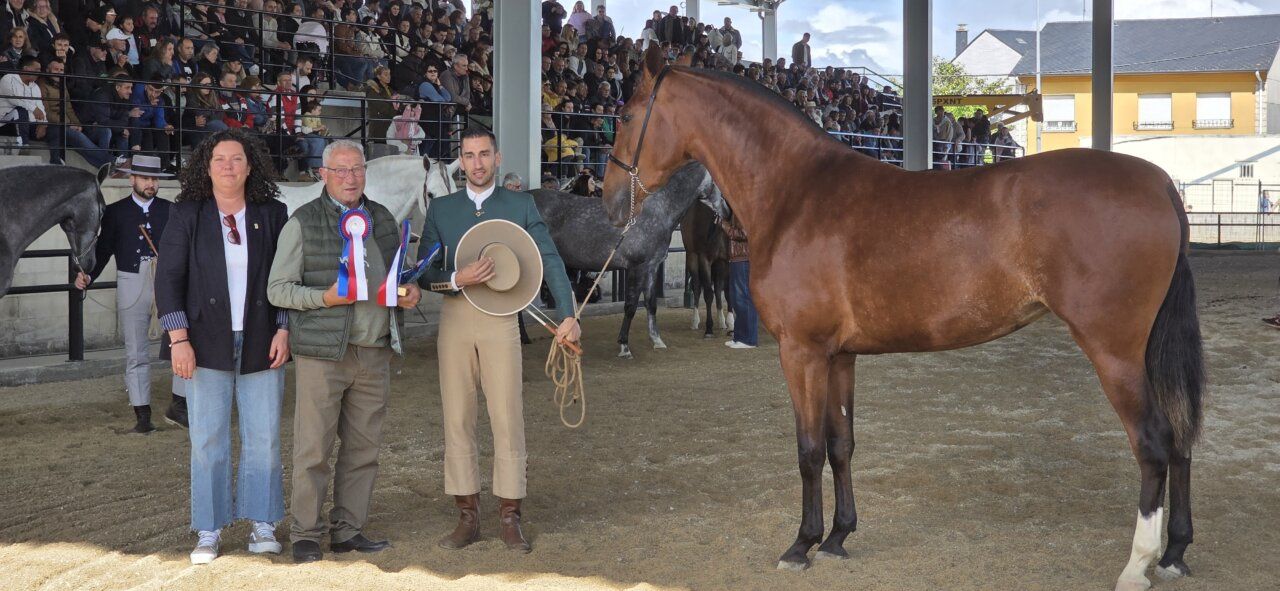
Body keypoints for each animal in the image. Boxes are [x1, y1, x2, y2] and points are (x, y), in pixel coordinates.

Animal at [532, 162, 721, 359]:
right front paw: (624, 346)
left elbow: (651, 303)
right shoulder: (636, 267)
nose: (728, 211)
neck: (658, 209)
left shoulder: (651, 267)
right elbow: (630, 306)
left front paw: (657, 340)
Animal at [680, 199, 732, 338]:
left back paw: (722, 321)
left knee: (718, 289)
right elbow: (708, 294)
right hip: (692, 257)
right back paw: (695, 321)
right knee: (697, 287)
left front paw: (731, 324)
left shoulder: (726, 260)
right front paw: (709, 329)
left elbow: (729, 292)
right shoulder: (704, 259)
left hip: (719, 264)